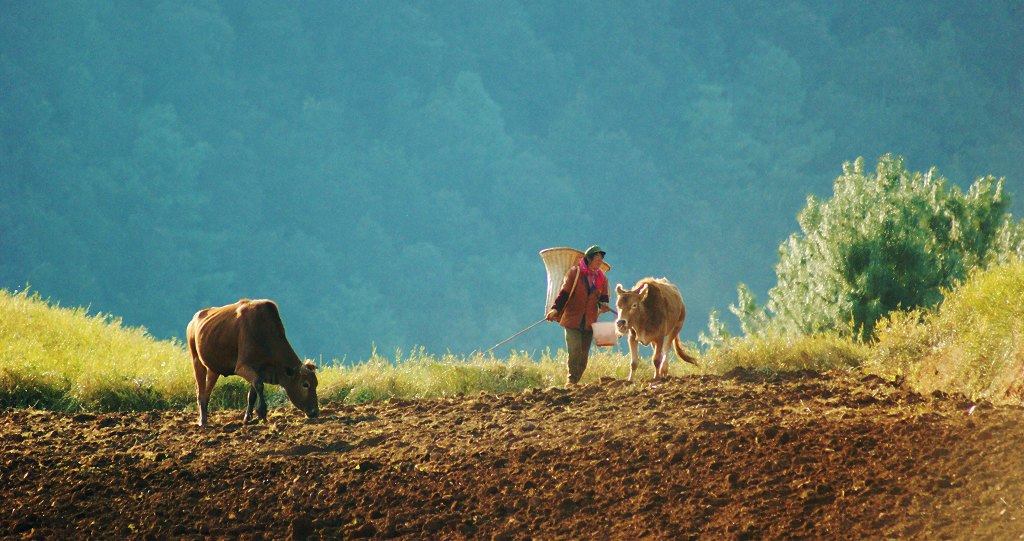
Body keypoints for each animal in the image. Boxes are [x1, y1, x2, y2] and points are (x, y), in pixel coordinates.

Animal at [186, 299, 317, 426]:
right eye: (305, 384)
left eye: (316, 383)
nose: (315, 412)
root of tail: (193, 320)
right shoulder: (242, 367)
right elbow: (259, 385)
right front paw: (262, 413)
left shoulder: (259, 370)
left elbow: (252, 394)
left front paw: (247, 418)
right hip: (196, 360)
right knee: (200, 392)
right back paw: (202, 421)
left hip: (214, 369)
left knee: (207, 392)